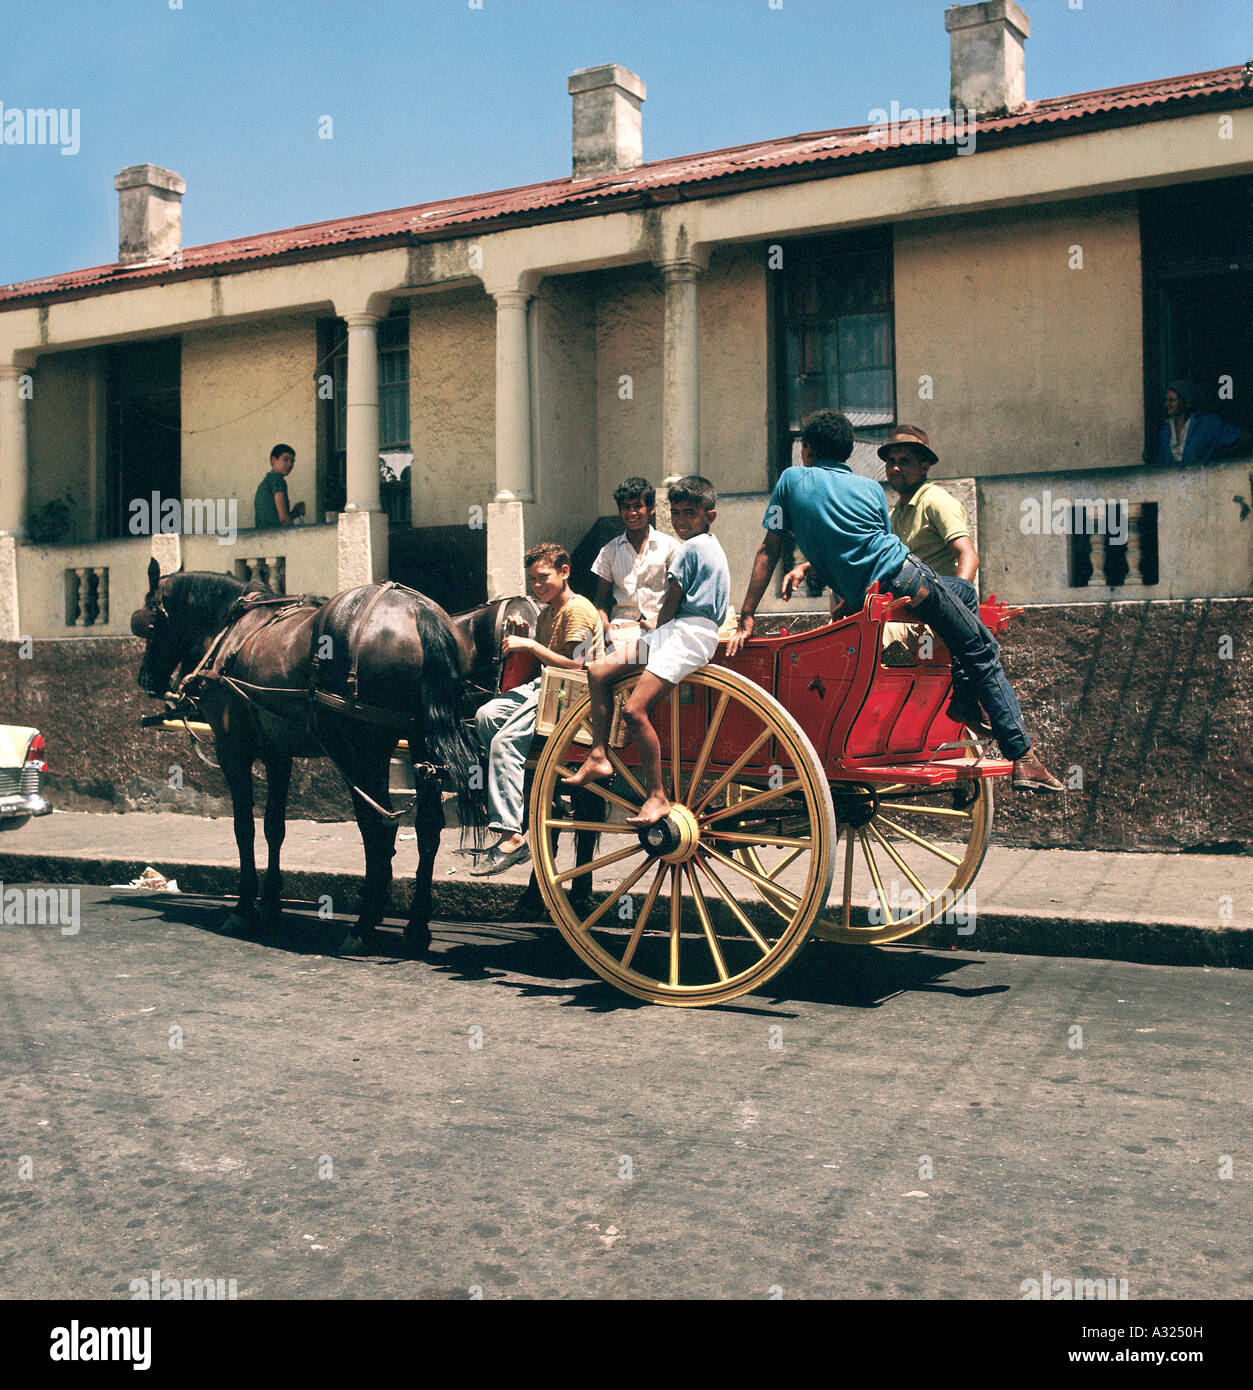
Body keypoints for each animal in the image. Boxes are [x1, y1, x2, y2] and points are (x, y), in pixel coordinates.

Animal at [130, 553, 483, 956]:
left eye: (150, 623)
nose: (146, 680)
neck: (231, 630)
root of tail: (418, 611)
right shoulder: (277, 753)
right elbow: (274, 826)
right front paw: (270, 903)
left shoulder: (233, 749)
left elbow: (244, 827)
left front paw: (244, 906)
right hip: (421, 740)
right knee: (427, 829)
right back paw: (416, 928)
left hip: (363, 748)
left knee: (380, 826)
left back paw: (364, 925)